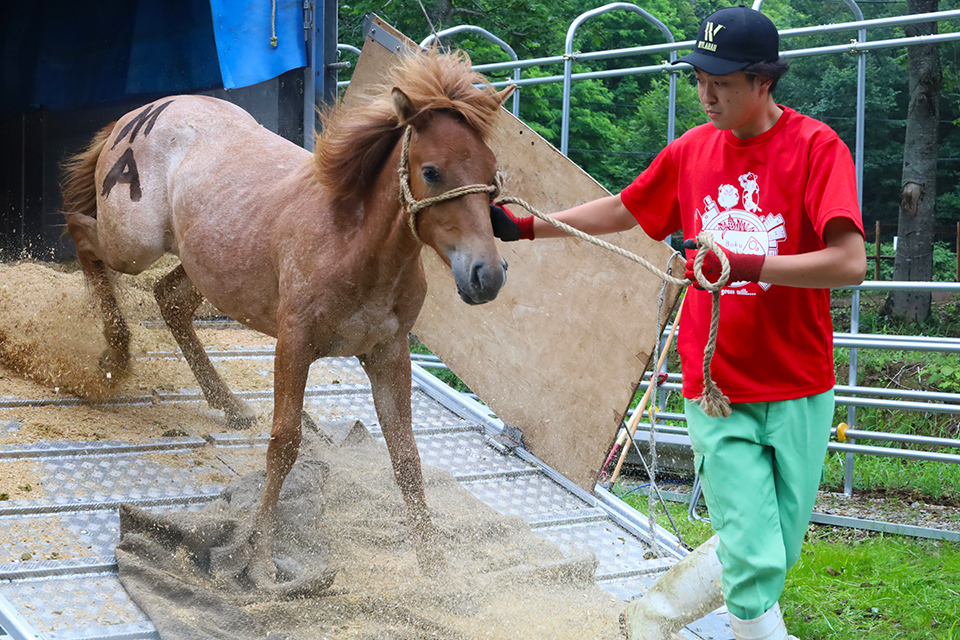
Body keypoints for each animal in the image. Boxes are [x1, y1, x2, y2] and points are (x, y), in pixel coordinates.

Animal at [60, 51, 512, 592]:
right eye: (432, 170)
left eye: (492, 172)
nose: (487, 275)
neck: (352, 244)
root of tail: (138, 113)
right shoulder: (294, 346)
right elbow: (285, 445)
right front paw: (260, 563)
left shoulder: (388, 353)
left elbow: (405, 456)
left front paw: (437, 569)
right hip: (134, 244)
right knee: (81, 233)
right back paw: (116, 352)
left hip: (205, 266)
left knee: (168, 298)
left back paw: (229, 403)